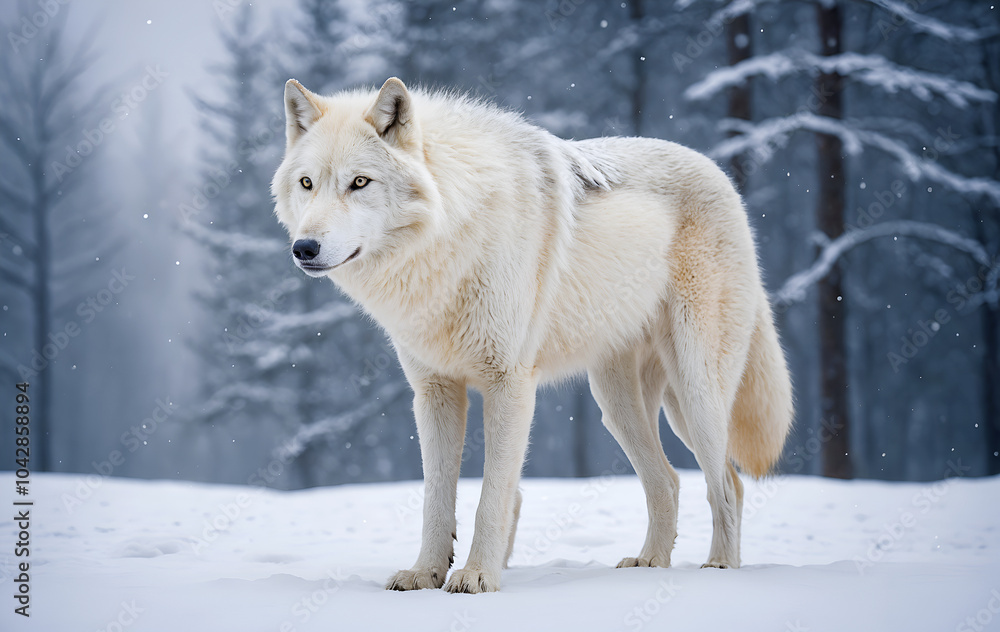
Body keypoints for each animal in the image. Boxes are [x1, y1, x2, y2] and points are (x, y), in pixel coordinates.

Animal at [271, 77, 793, 593]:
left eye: (359, 182)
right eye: (307, 183)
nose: (304, 248)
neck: (449, 238)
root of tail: (720, 174)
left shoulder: (510, 383)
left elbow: (494, 495)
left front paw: (478, 575)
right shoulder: (435, 391)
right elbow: (435, 497)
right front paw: (425, 574)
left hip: (695, 392)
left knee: (727, 484)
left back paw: (719, 568)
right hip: (618, 405)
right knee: (668, 481)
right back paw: (649, 564)